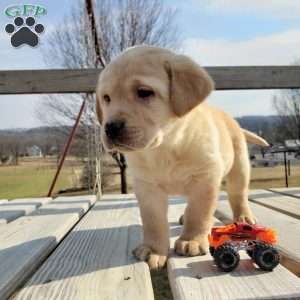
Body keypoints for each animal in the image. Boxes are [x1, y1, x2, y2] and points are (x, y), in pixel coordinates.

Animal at [95, 45, 268, 270]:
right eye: (106, 98)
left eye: (144, 92)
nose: (110, 128)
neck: (165, 146)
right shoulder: (147, 187)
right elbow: (153, 221)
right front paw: (154, 248)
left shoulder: (205, 178)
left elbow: (199, 212)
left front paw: (191, 240)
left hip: (239, 167)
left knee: (238, 195)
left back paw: (244, 216)